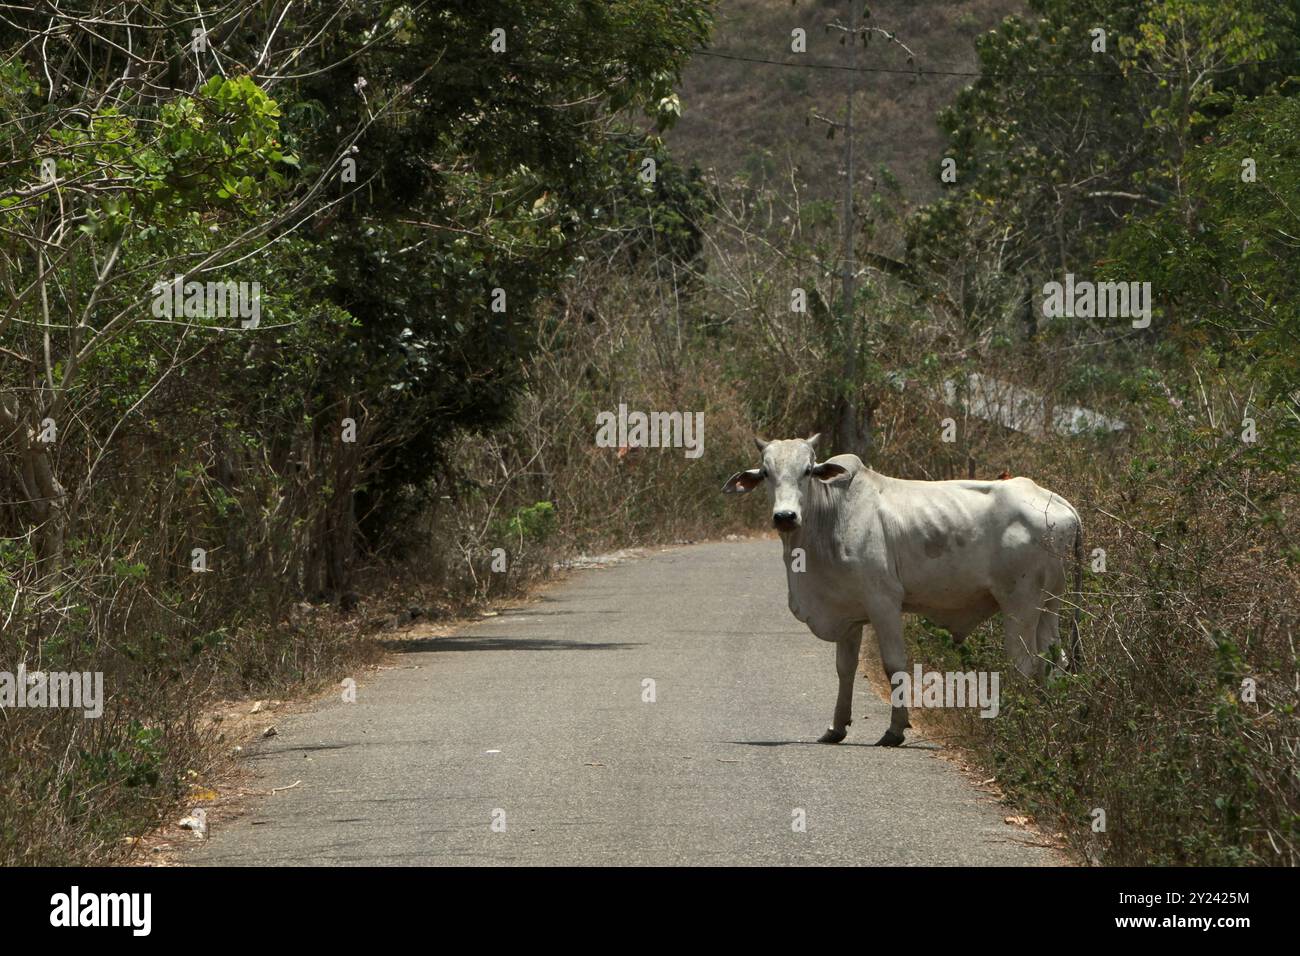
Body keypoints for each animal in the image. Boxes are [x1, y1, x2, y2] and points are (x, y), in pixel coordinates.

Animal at [728, 434, 1081, 749]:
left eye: (807, 470)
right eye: (766, 473)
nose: (785, 517)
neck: (830, 517)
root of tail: (1057, 502)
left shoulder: (883, 603)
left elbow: (894, 664)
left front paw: (894, 731)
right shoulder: (849, 611)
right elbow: (845, 668)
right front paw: (836, 728)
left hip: (1020, 605)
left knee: (1024, 664)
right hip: (1049, 605)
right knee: (1054, 659)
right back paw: (1049, 719)